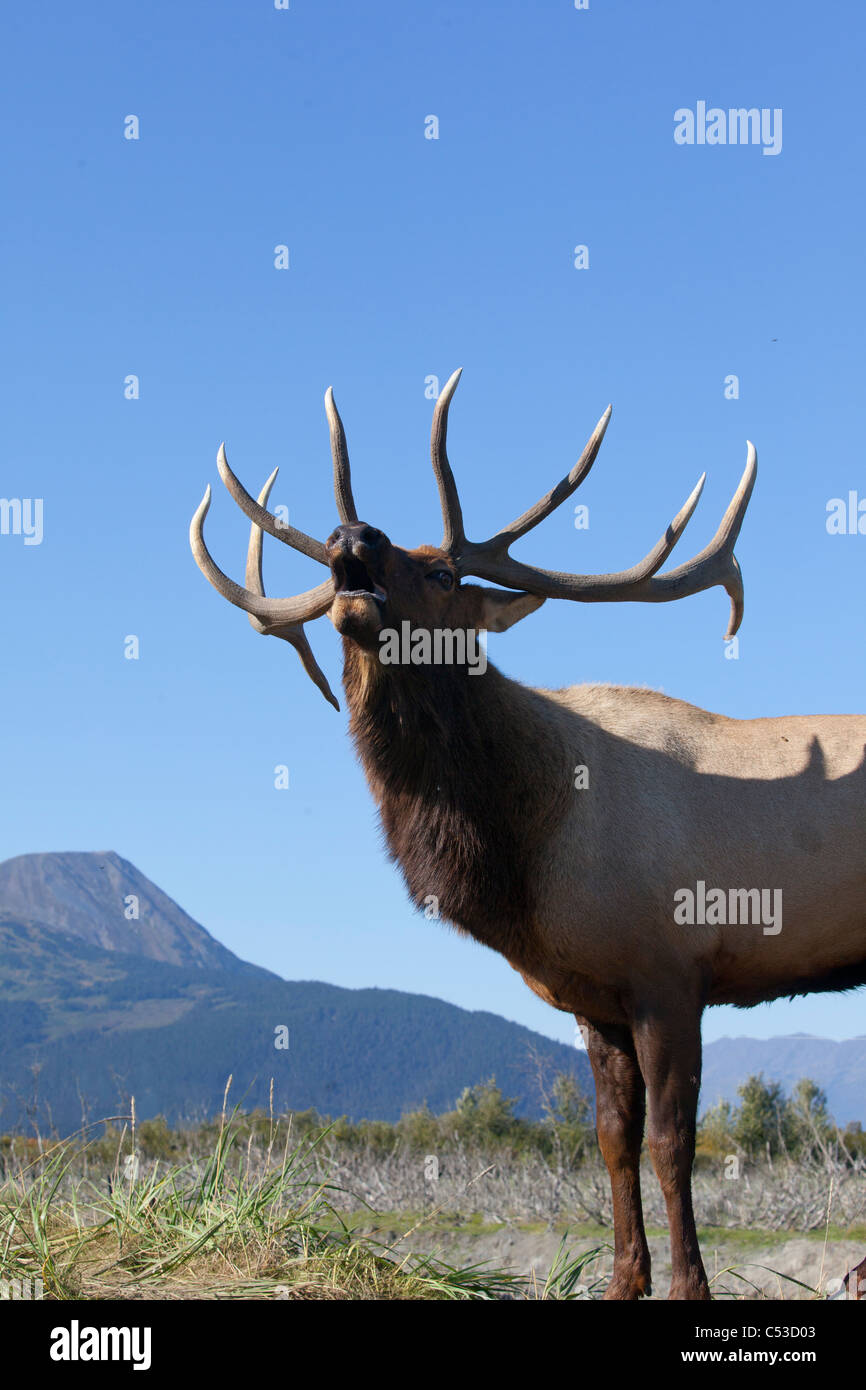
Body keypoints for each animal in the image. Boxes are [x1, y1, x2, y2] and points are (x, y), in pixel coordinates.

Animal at [191, 372, 866, 1301]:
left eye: (441, 571)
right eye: (347, 557)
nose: (350, 537)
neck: (525, 855)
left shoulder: (671, 971)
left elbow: (672, 1145)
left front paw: (690, 1286)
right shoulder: (596, 998)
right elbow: (612, 1144)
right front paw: (623, 1283)